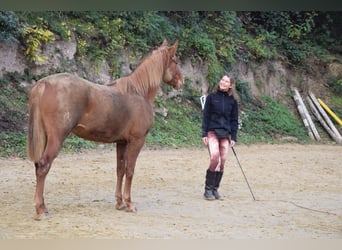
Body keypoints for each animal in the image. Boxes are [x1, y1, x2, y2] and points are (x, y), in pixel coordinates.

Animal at [26, 39, 184, 221]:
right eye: (175, 61)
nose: (182, 82)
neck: (139, 93)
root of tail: (42, 84)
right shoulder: (137, 141)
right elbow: (130, 170)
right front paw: (130, 204)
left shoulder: (122, 143)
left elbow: (120, 170)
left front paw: (120, 203)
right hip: (56, 139)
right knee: (43, 166)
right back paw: (40, 210)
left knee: (38, 166)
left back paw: (43, 207)